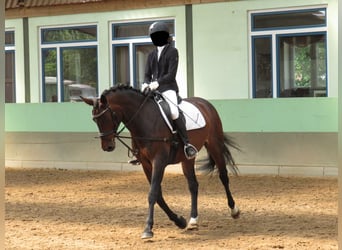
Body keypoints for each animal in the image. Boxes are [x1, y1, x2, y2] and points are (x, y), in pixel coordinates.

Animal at [81, 85, 239, 239]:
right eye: (95, 120)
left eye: (108, 116)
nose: (107, 147)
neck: (144, 120)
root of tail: (205, 102)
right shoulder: (146, 164)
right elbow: (158, 195)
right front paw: (179, 221)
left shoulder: (159, 161)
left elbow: (152, 193)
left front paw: (148, 229)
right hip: (187, 158)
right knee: (193, 185)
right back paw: (193, 220)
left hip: (214, 145)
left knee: (223, 176)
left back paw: (234, 210)